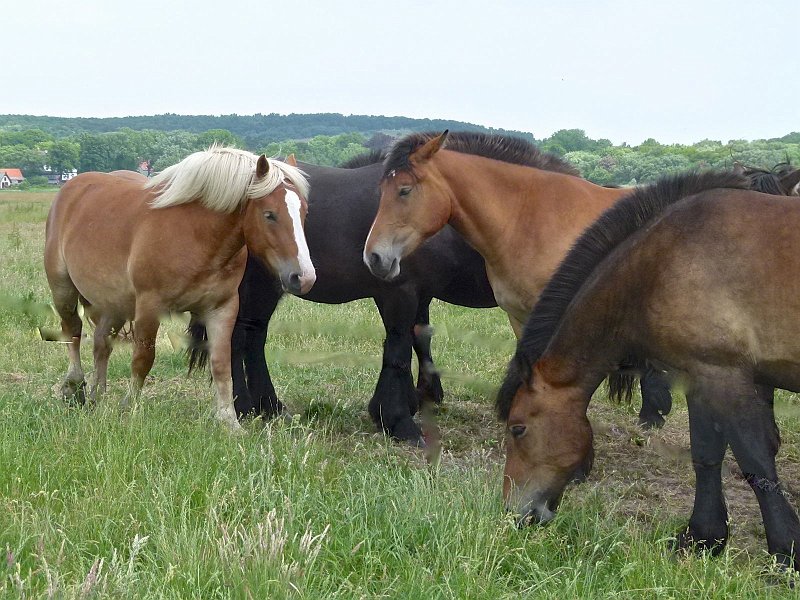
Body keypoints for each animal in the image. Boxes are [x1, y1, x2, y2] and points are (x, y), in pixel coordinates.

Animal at [45, 147, 316, 428]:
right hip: (63, 288)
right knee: (72, 332)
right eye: (269, 214)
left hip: (114, 302)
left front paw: (229, 422)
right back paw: (74, 387)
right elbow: (143, 359)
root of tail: (73, 187)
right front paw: (129, 409)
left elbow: (221, 363)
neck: (196, 235)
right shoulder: (149, 307)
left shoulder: (222, 308)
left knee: (101, 343)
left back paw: (97, 395)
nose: (303, 277)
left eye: (304, 212)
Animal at [496, 169, 800, 572]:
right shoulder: (700, 376)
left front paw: (786, 549)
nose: (514, 515)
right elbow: (706, 455)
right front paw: (702, 538)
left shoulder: (724, 375)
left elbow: (756, 462)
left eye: (518, 429)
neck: (665, 257)